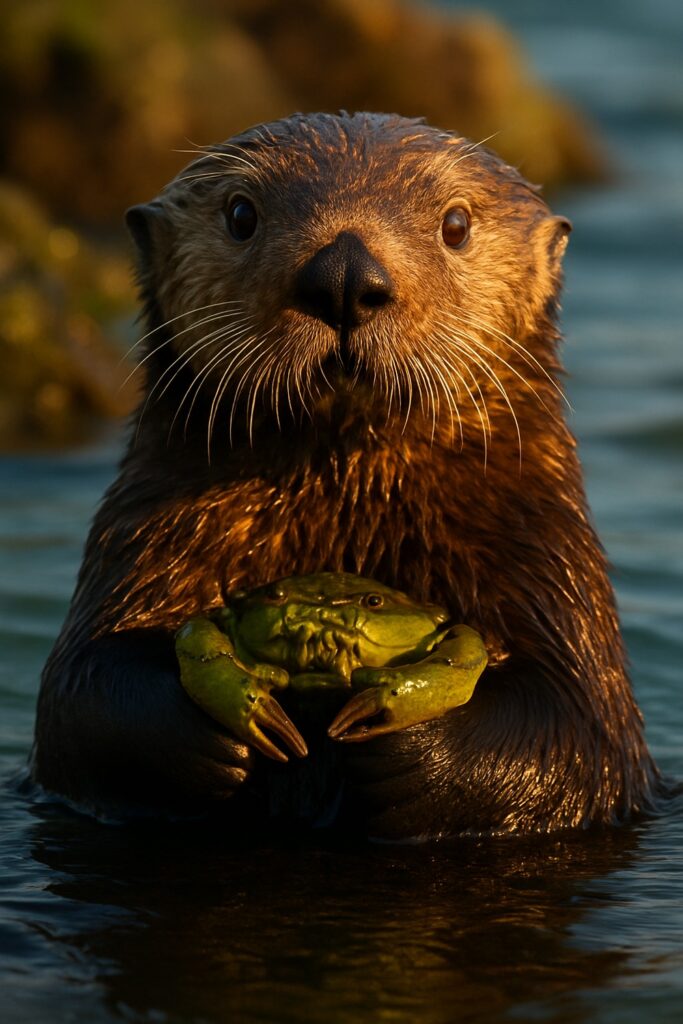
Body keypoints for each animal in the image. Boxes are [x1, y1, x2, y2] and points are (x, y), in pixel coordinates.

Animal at [33, 112, 659, 838]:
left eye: (455, 224)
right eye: (241, 214)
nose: (342, 275)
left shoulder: (547, 564)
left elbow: (575, 734)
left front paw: (403, 743)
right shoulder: (146, 541)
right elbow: (82, 701)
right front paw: (228, 732)